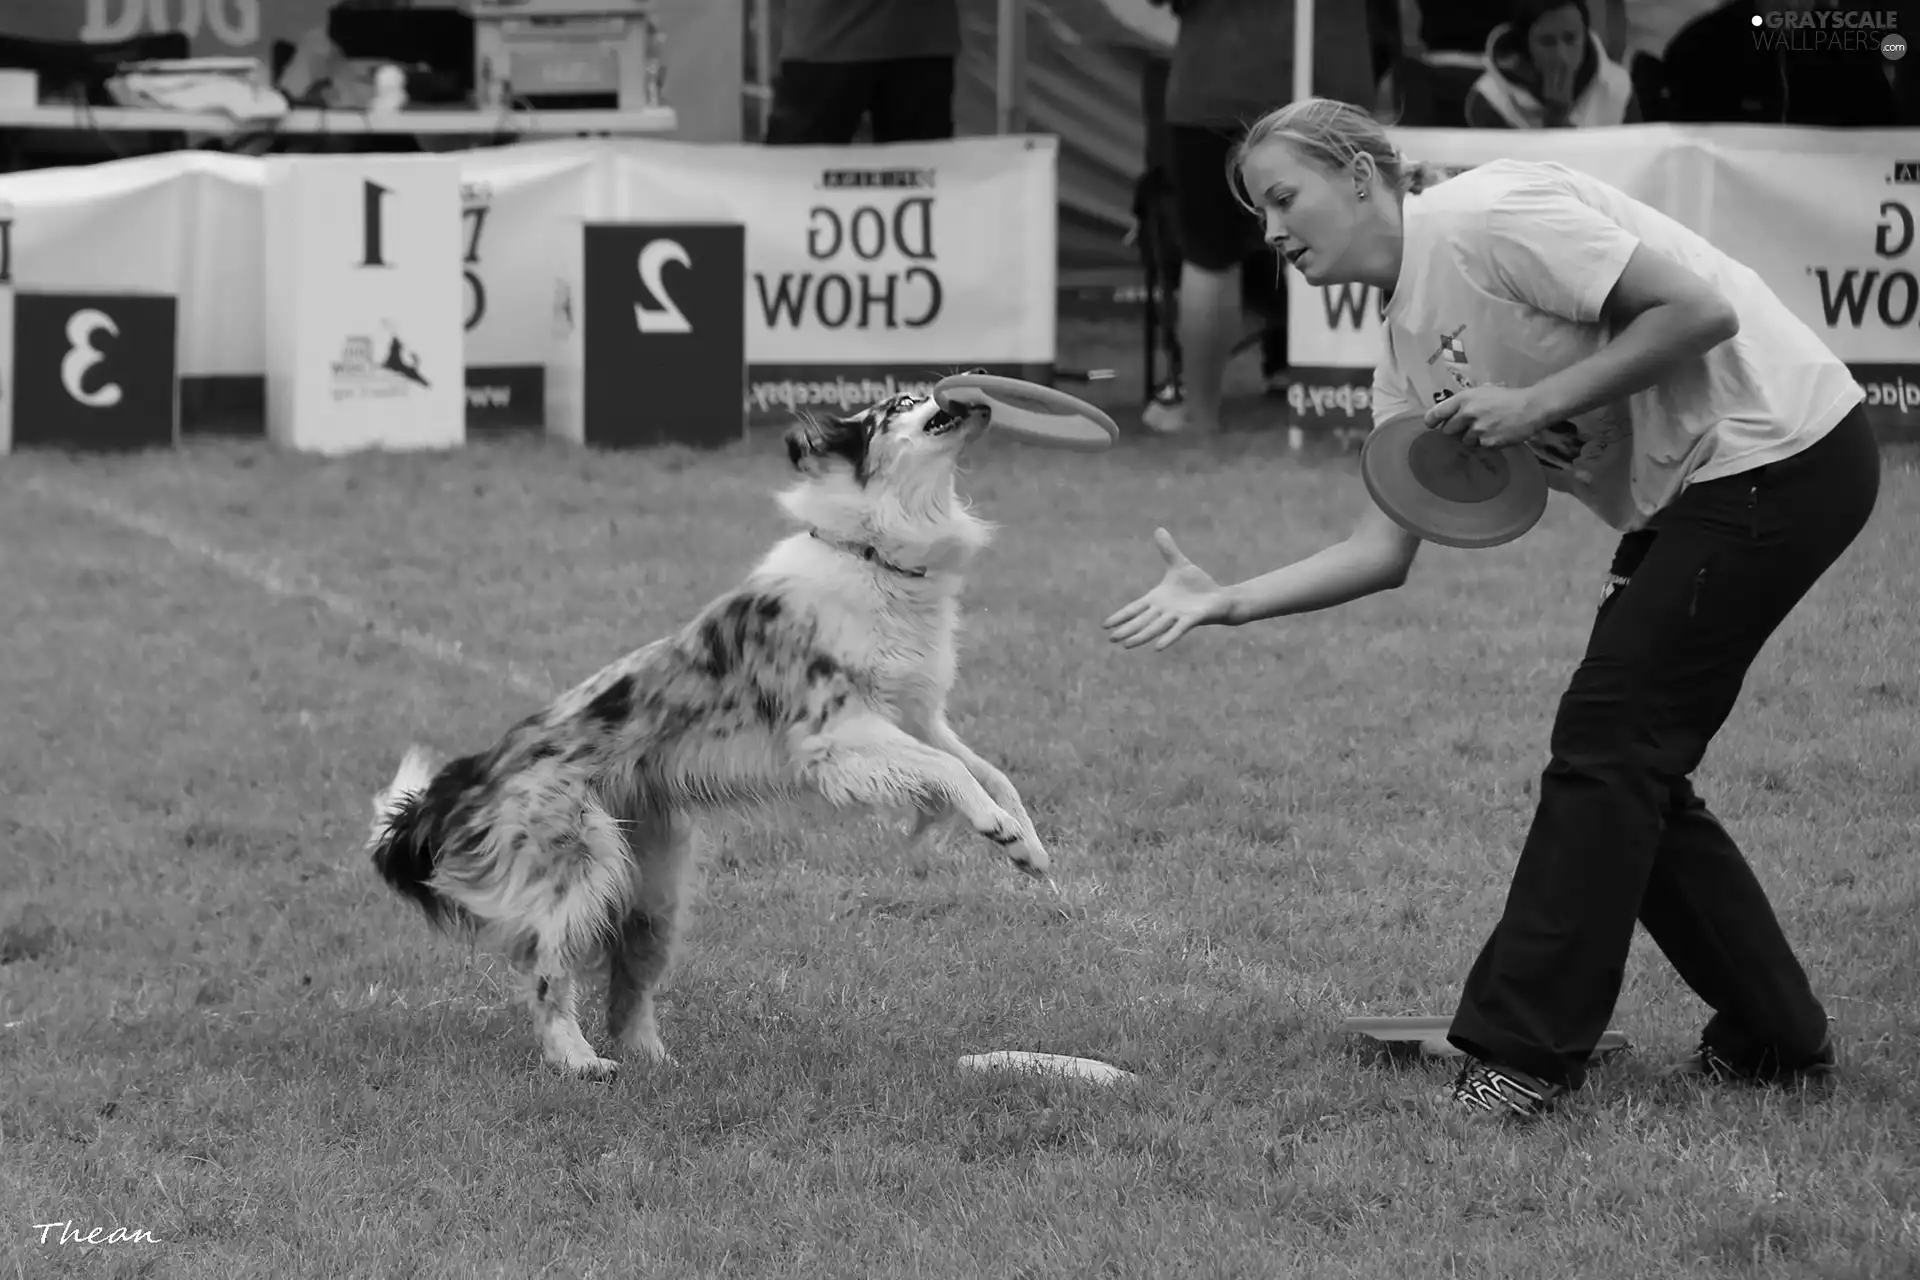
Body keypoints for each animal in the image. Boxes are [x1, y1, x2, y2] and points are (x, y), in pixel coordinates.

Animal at [366, 387, 1059, 1074]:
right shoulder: (835, 739)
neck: (871, 556)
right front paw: (996, 827)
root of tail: (469, 778)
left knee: (627, 986)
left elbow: (991, 773)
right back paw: (579, 1062)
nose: (969, 388)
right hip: (580, 868)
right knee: (546, 971)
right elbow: (951, 772)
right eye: (900, 403)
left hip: (655, 889)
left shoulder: (915, 719)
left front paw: (1026, 846)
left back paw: (656, 1062)